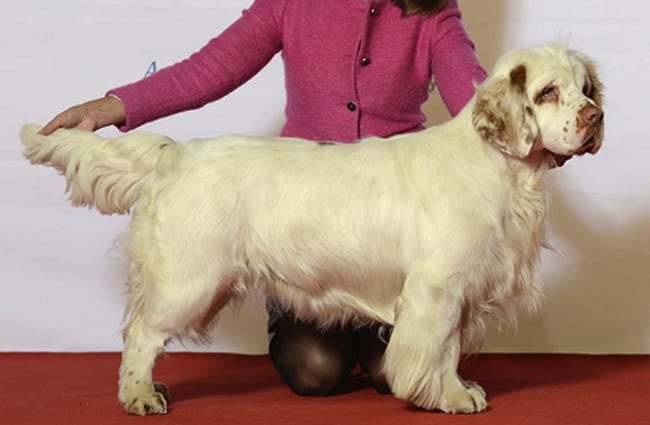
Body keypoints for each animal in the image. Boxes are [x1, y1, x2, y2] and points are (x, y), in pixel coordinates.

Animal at [20, 43, 604, 414]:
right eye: (548, 92)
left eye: (586, 89)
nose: (596, 117)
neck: (497, 164)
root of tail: (175, 153)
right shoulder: (437, 290)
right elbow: (438, 351)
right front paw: (452, 398)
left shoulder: (458, 291)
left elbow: (451, 348)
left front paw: (458, 389)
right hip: (189, 280)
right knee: (140, 334)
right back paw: (141, 396)